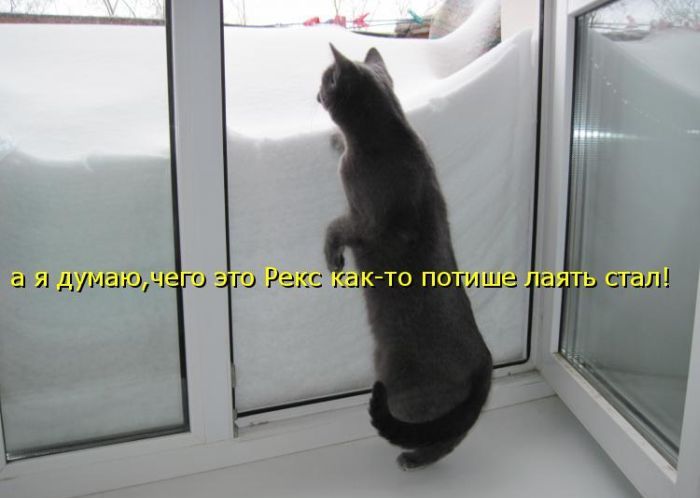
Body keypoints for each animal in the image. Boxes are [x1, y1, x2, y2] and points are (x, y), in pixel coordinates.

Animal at [318, 44, 493, 470]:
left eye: (325, 80)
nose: (315, 95)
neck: (392, 135)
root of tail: (485, 360)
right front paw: (334, 138)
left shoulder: (362, 221)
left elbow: (334, 227)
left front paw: (333, 259)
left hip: (403, 394)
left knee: (443, 433)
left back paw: (414, 458)